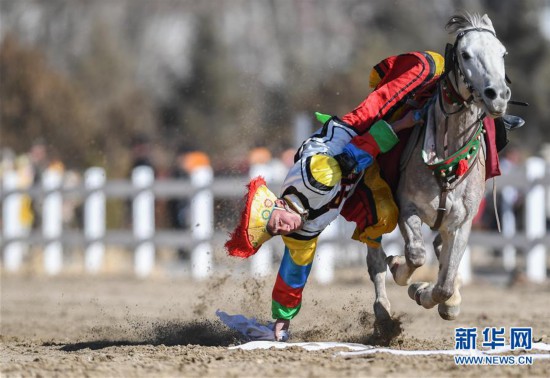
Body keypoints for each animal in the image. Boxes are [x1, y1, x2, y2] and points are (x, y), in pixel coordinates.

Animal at [368, 14, 512, 322]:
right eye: (465, 54)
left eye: (502, 53)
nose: (497, 95)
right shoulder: (407, 208)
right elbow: (415, 255)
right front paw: (401, 269)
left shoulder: (462, 222)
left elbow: (444, 283)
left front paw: (430, 294)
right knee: (374, 258)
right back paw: (383, 310)